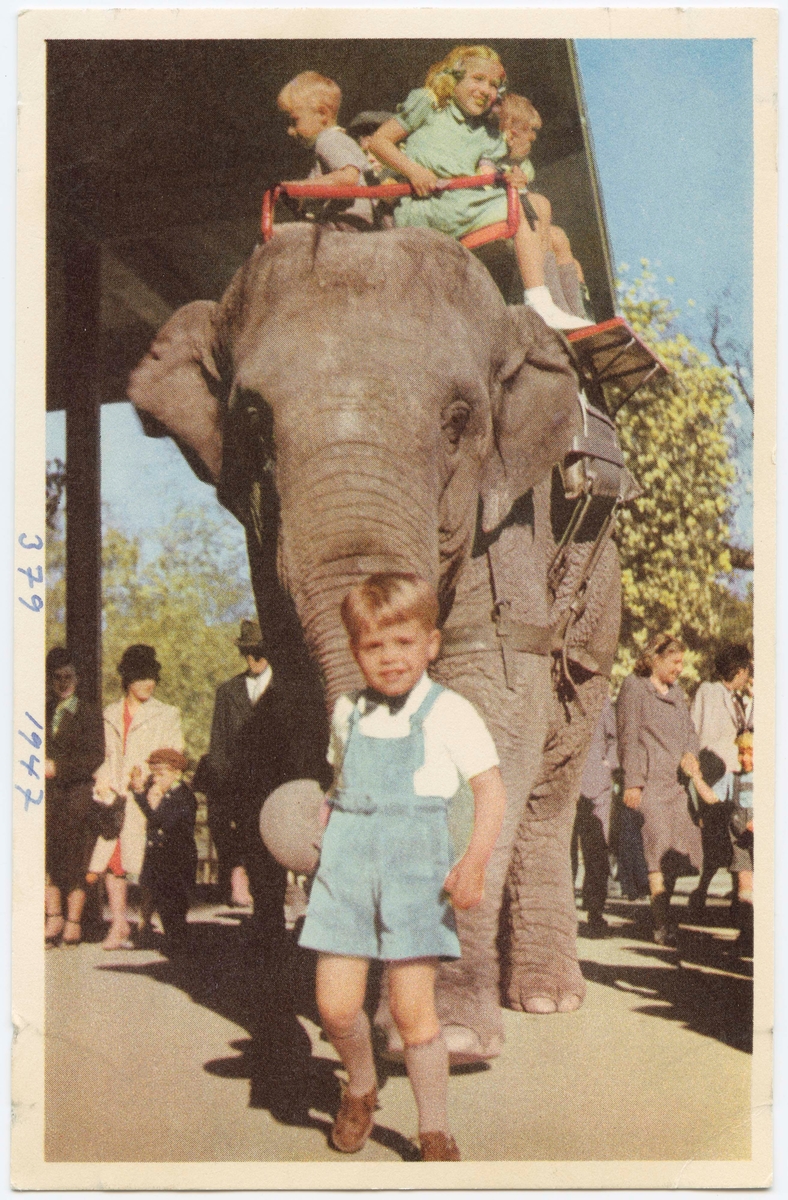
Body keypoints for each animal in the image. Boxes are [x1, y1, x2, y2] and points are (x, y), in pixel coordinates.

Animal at [128, 223, 614, 1060]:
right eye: (252, 418)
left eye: (458, 419)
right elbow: (298, 692)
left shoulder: (511, 517)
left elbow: (495, 701)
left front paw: (453, 1037)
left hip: (597, 610)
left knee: (554, 774)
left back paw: (546, 996)